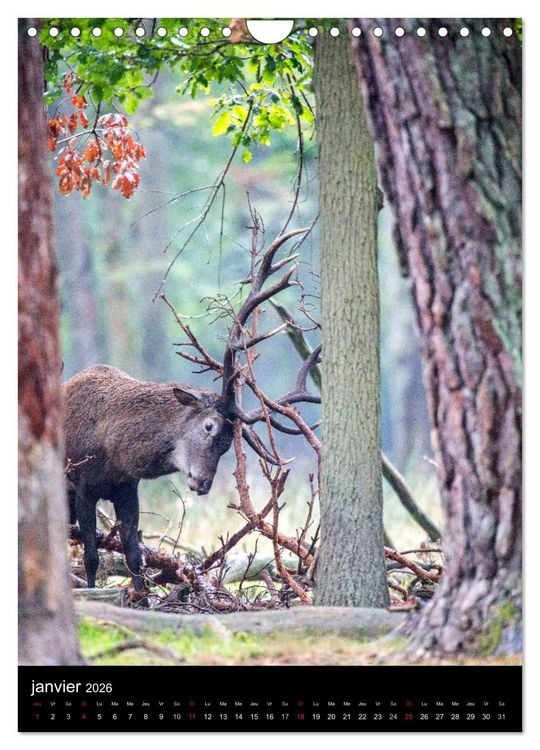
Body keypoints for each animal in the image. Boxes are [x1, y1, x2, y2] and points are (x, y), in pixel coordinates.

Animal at [64, 226, 321, 595]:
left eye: (230, 443)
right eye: (209, 426)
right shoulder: (83, 484)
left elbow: (134, 556)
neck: (113, 452)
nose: (203, 483)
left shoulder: (127, 488)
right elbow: (91, 558)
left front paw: (142, 598)